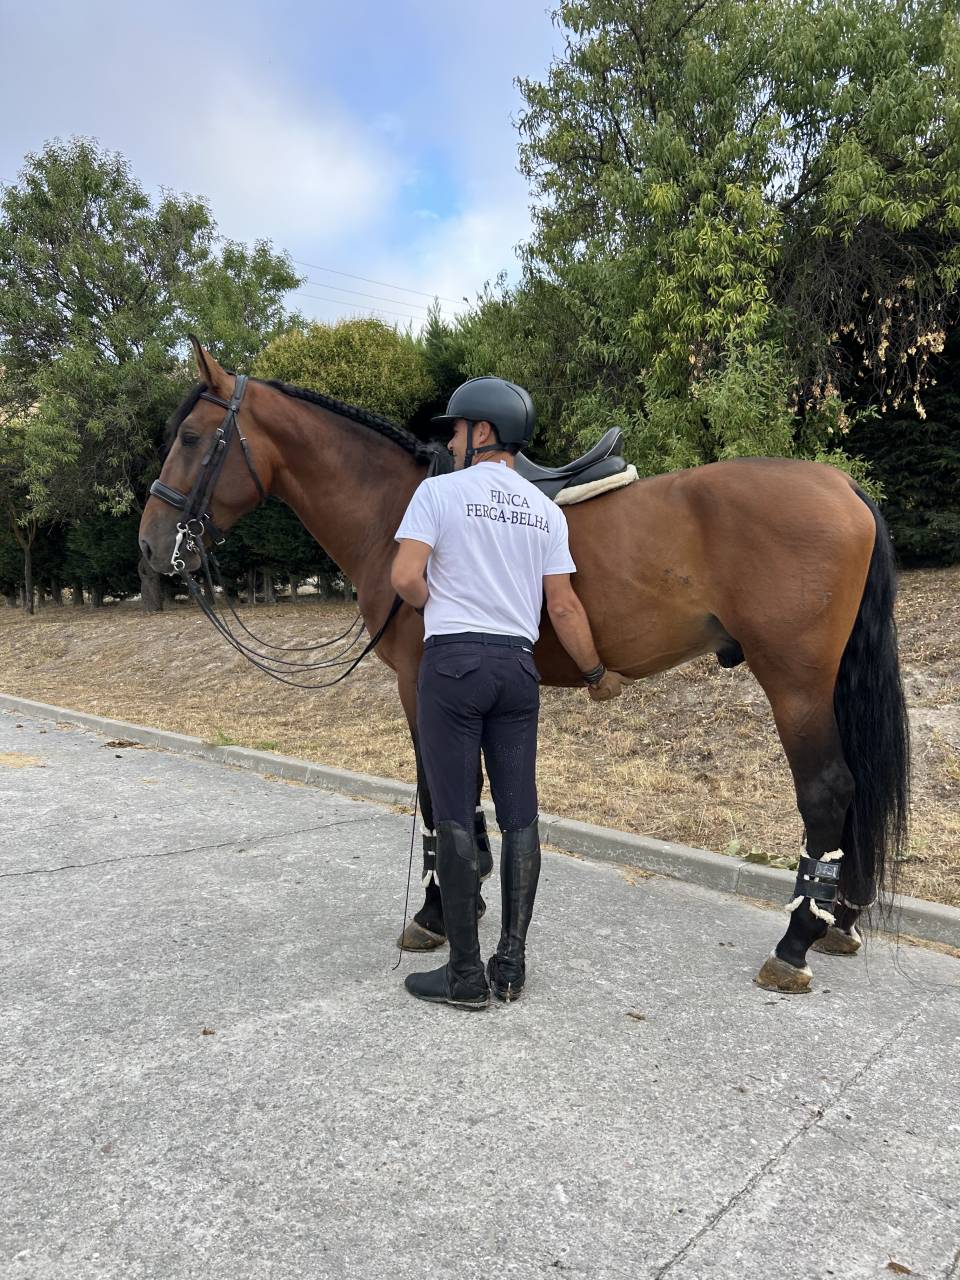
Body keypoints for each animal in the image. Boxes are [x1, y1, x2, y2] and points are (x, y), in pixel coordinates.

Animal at [138, 340, 909, 994]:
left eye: (191, 439)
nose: (150, 546)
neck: (395, 509)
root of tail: (843, 487)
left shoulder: (420, 684)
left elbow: (440, 796)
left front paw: (437, 911)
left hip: (796, 685)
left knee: (827, 792)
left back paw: (795, 943)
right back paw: (838, 922)